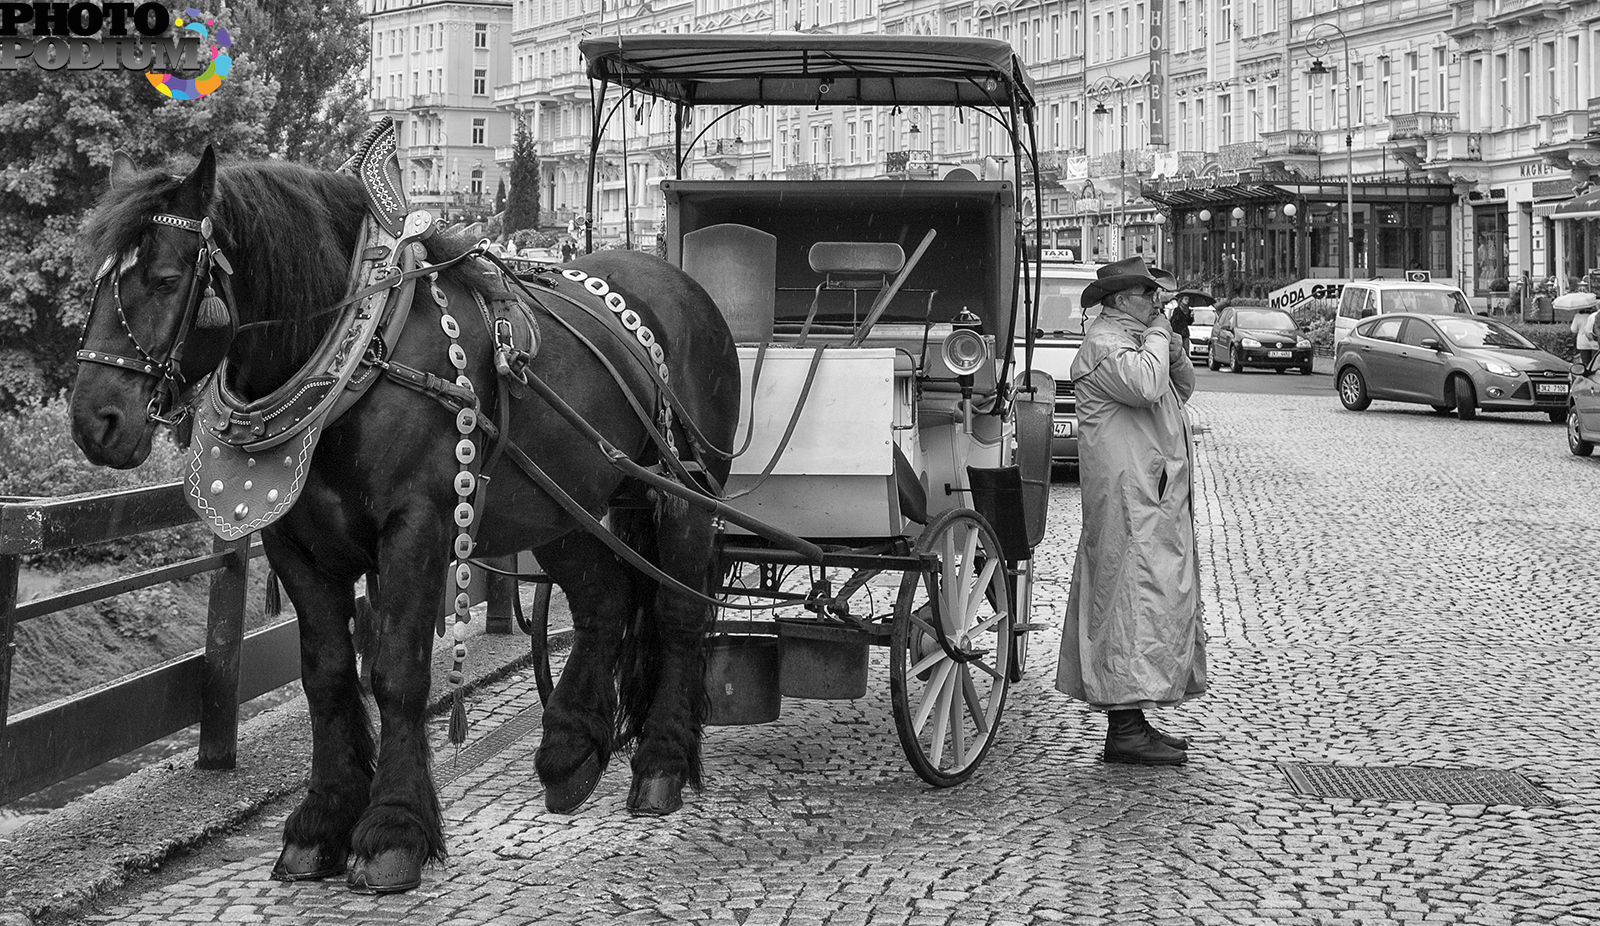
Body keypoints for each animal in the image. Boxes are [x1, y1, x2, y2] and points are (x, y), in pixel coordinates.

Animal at [68, 148, 742, 895]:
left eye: (163, 279)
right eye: (95, 281)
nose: (94, 420)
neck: (359, 359)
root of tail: (676, 283)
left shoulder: (418, 527)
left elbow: (396, 672)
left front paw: (392, 831)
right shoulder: (296, 544)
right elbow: (328, 675)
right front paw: (320, 825)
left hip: (684, 496)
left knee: (678, 614)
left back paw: (660, 766)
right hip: (561, 503)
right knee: (606, 599)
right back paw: (570, 750)